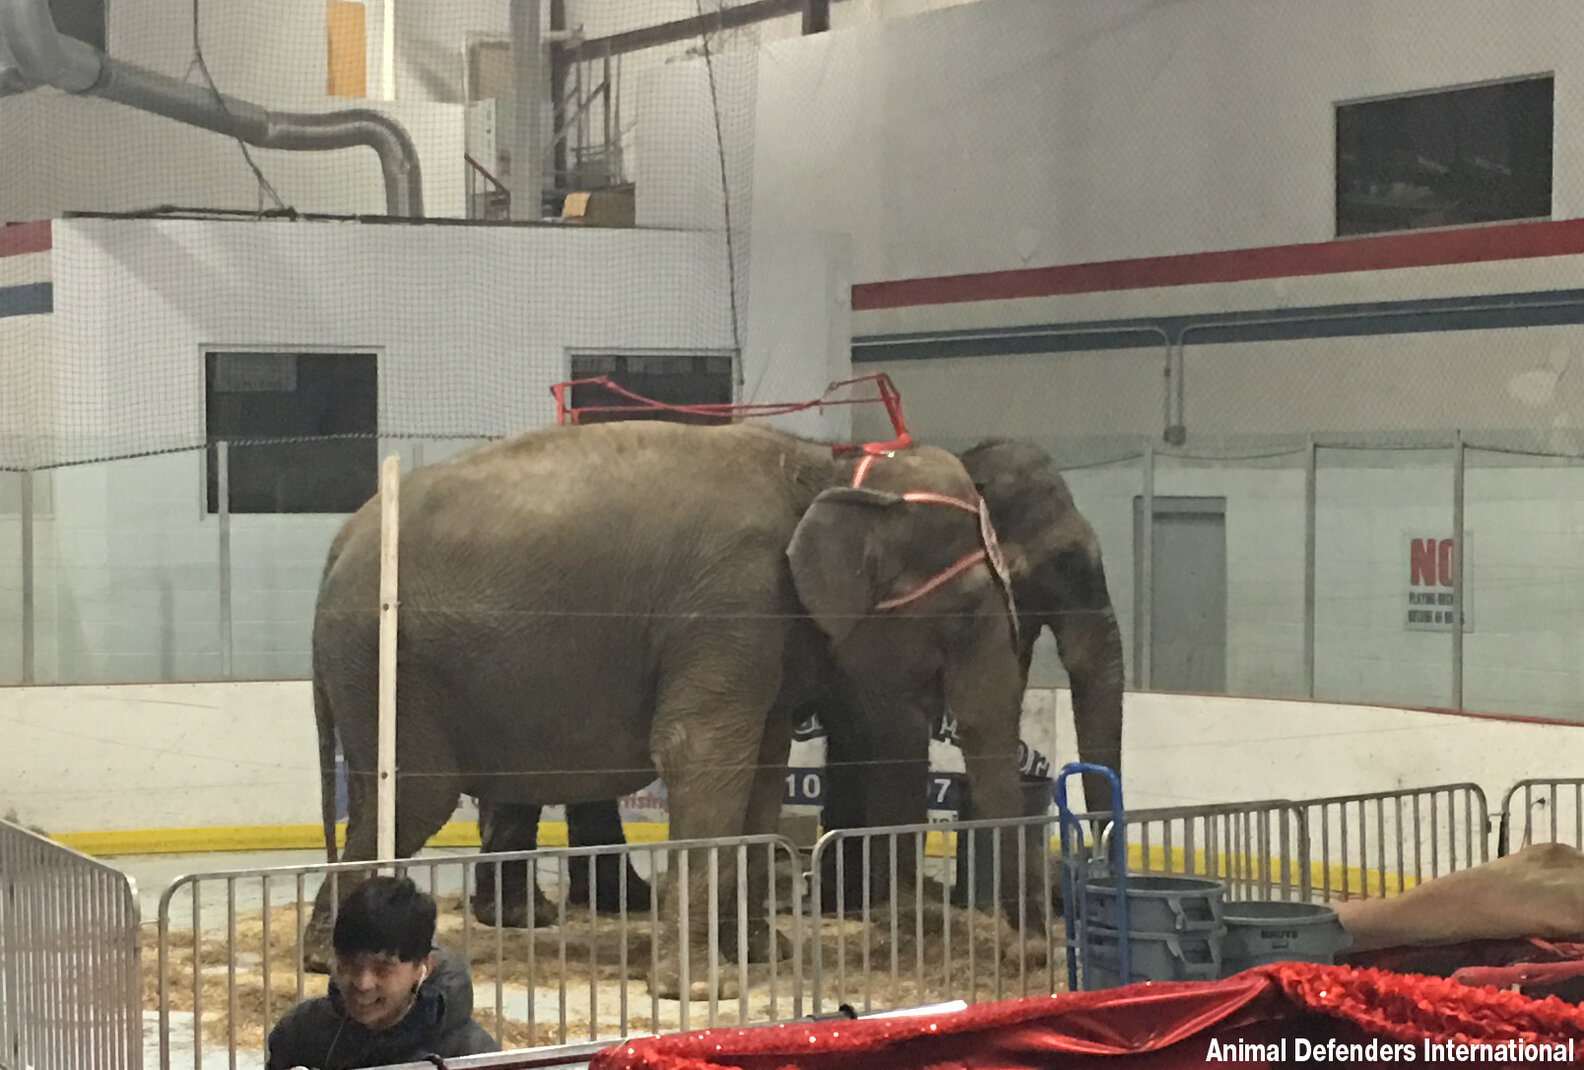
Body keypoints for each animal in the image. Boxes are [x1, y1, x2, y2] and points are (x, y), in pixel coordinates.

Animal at [303, 420, 1031, 1000]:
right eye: (970, 609)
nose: (1025, 954)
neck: (825, 466)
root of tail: (340, 540)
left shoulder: (764, 632)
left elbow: (762, 772)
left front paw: (763, 956)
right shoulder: (729, 602)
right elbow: (701, 759)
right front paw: (706, 988)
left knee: (373, 799)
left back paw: (319, 951)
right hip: (389, 665)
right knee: (412, 798)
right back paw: (336, 959)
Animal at [466, 439, 1126, 919]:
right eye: (1062, 565)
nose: (1052, 913)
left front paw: (850, 906)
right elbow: (891, 735)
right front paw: (885, 912)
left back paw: (608, 906)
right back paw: (530, 918)